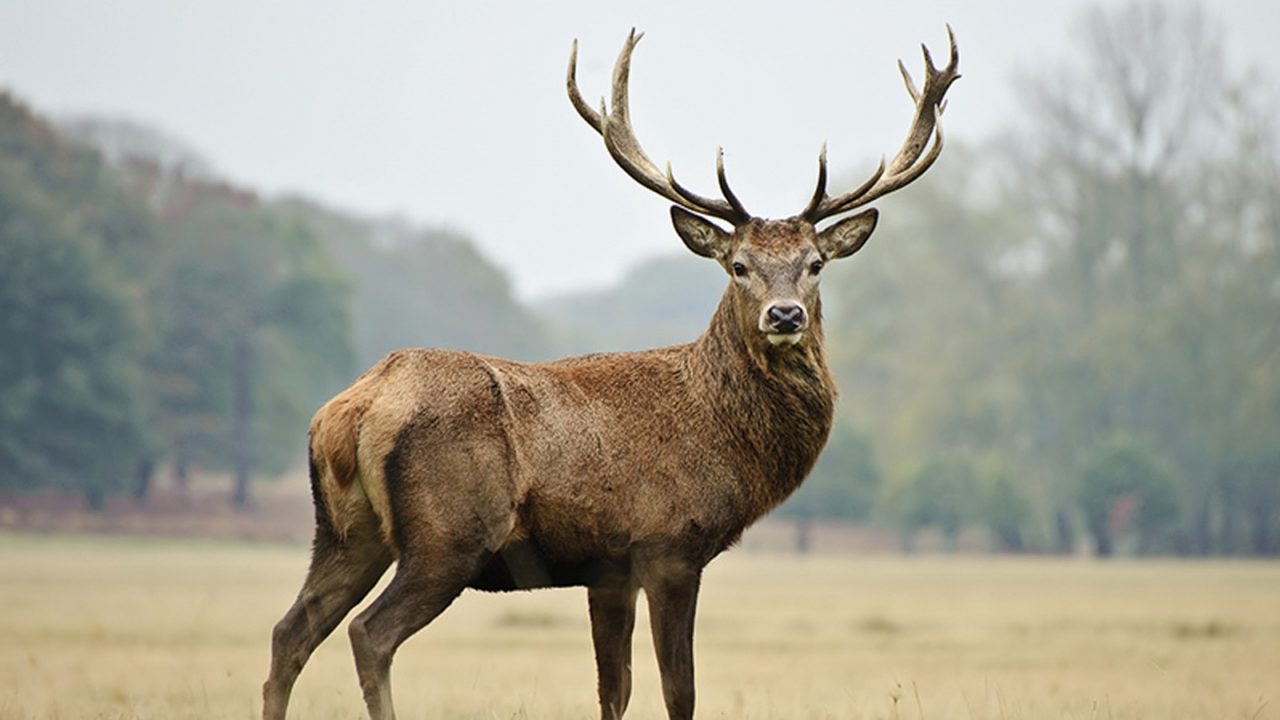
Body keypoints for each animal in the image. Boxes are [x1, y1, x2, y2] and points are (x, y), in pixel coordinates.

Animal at [262, 27, 959, 720]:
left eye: (815, 263)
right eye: (738, 265)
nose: (784, 314)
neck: (723, 436)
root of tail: (353, 407)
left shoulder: (607, 569)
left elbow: (613, 688)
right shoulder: (669, 545)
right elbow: (680, 690)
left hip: (346, 532)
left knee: (290, 631)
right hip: (448, 534)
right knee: (368, 633)